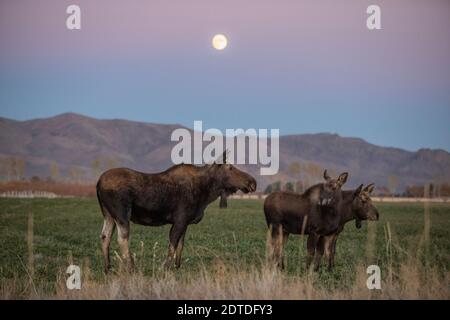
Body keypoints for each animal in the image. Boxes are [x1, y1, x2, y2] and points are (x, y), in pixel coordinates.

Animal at [96, 151, 255, 274]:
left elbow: (180, 245)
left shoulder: (185, 222)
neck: (206, 191)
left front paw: (178, 266)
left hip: (108, 215)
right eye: (230, 167)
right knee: (122, 238)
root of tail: (98, 183)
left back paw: (107, 268)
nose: (252, 182)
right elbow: (172, 244)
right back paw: (131, 268)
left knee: (105, 236)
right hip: (122, 214)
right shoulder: (180, 220)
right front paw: (165, 267)